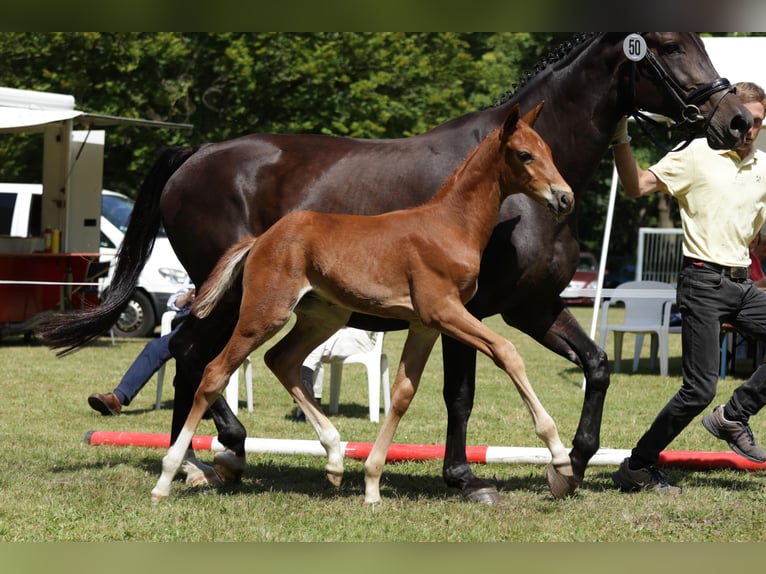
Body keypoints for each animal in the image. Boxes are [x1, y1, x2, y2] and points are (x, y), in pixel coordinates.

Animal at [152, 103, 576, 504]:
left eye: (549, 151)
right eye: (524, 154)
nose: (565, 197)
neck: (450, 226)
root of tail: (261, 239)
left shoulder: (425, 324)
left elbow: (403, 392)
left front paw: (371, 482)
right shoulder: (446, 311)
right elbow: (506, 351)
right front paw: (558, 455)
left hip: (323, 318)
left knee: (281, 361)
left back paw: (335, 458)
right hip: (264, 314)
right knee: (213, 372)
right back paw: (170, 475)